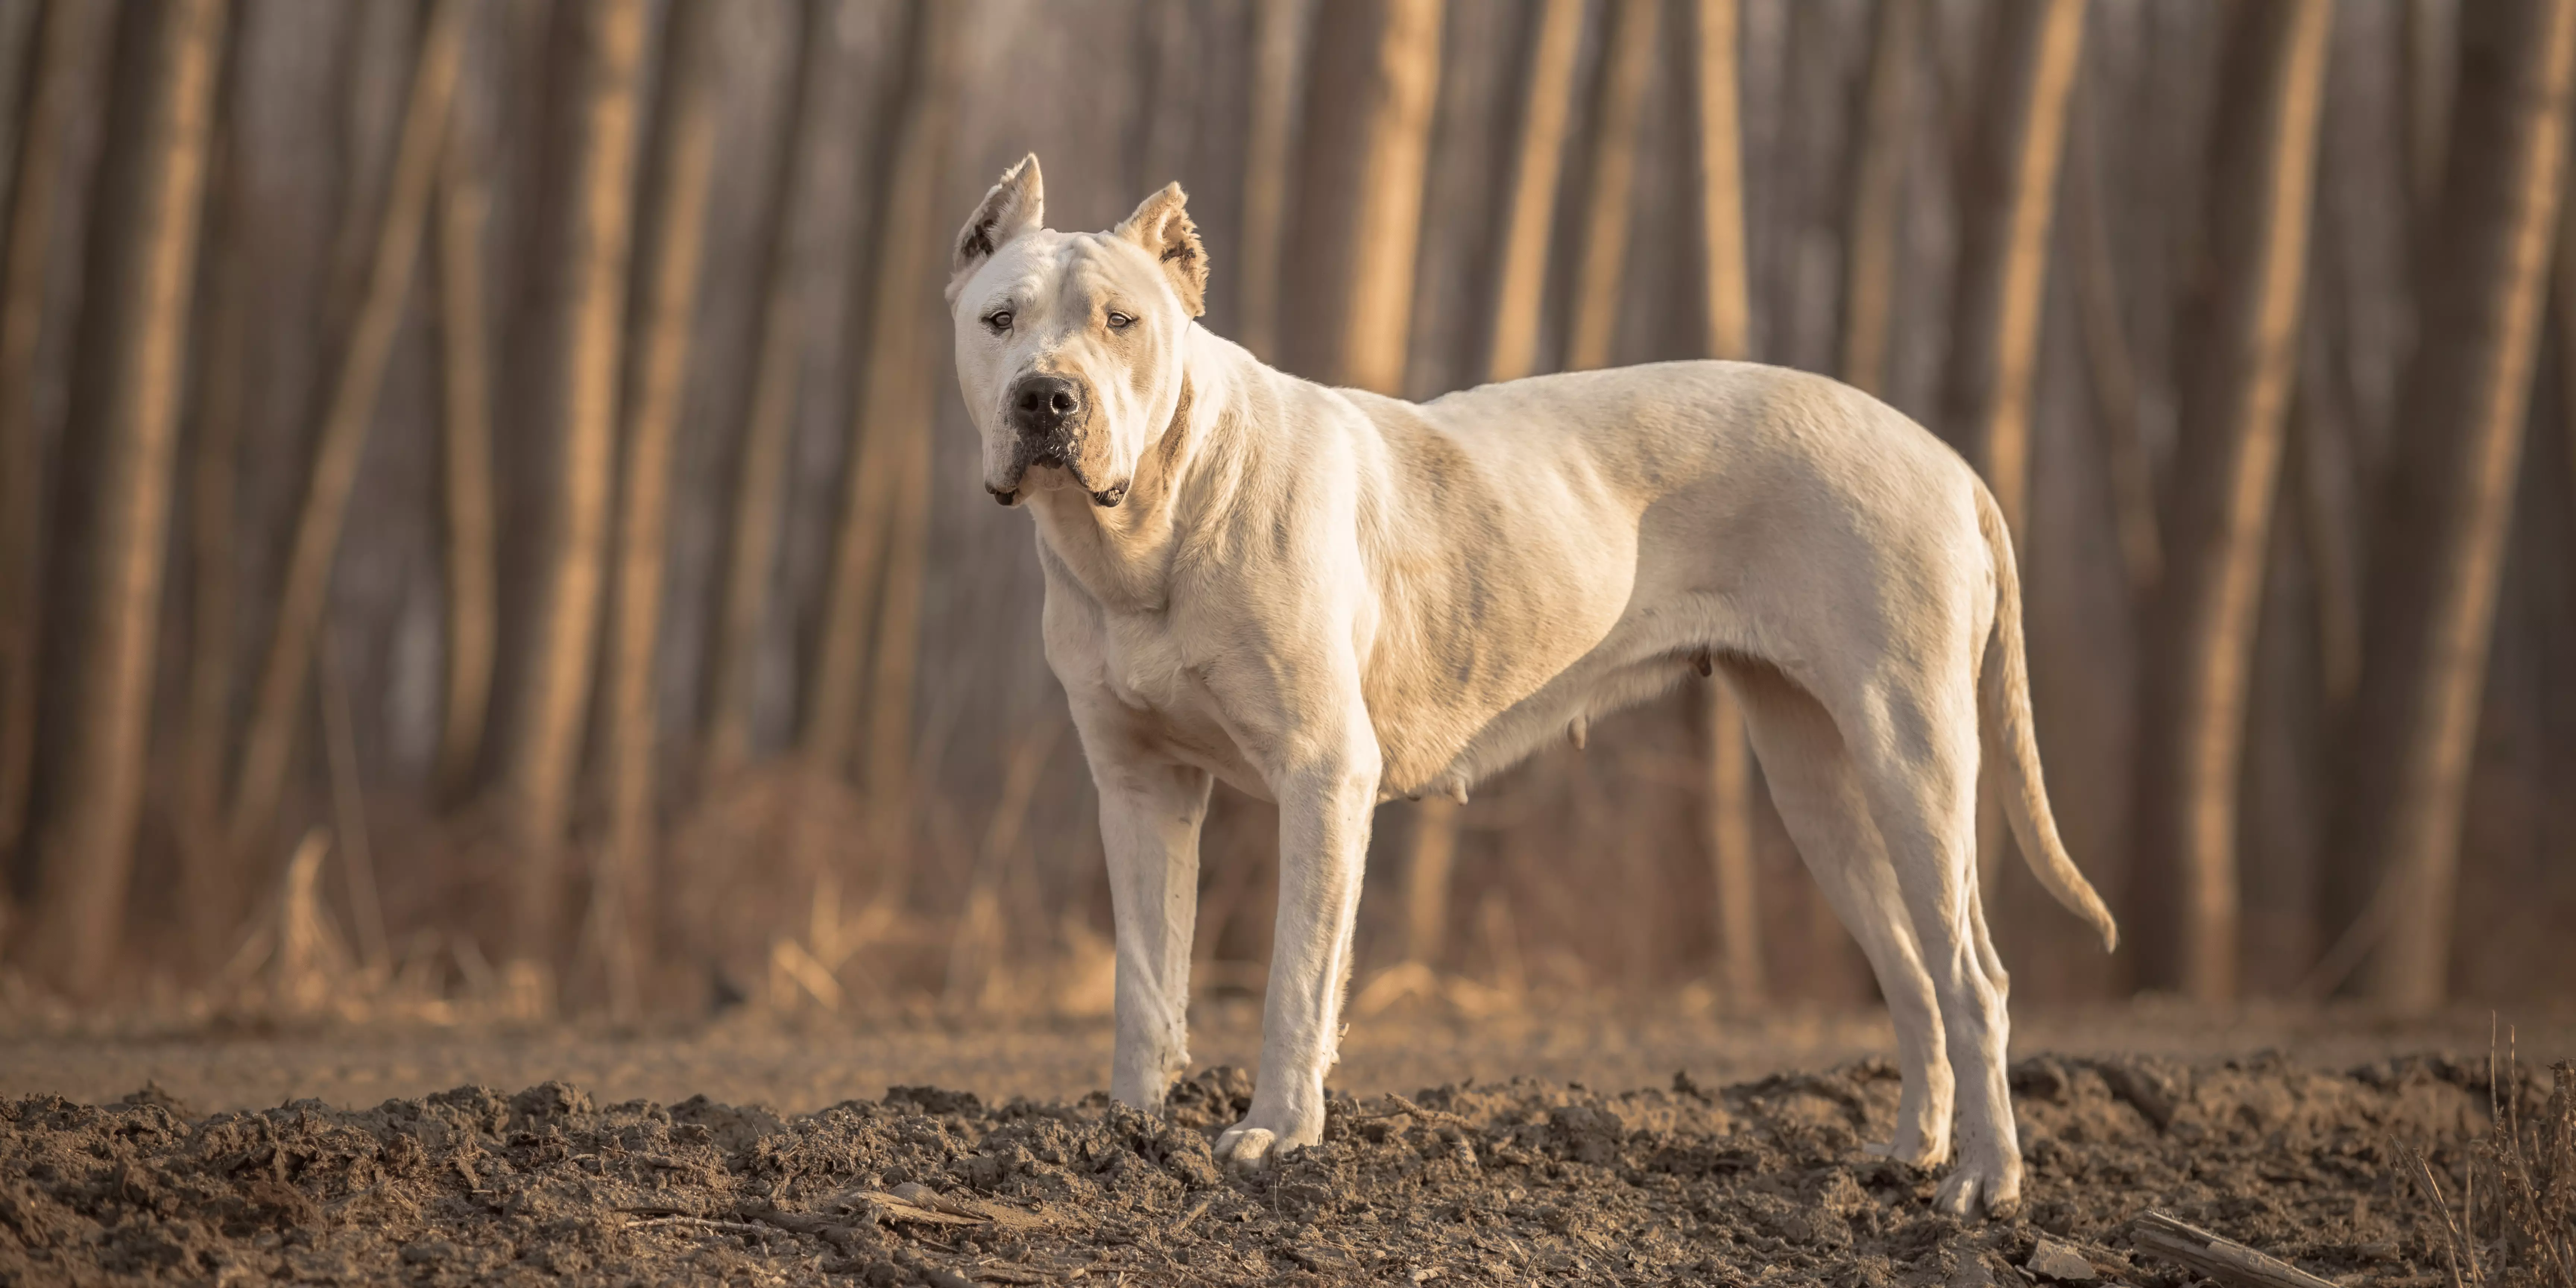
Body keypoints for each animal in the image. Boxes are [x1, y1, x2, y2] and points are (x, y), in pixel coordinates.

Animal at [948, 156, 2112, 1210]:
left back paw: (1985, 1183)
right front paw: (1123, 1134)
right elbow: (1146, 980)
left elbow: (1295, 978)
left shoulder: (1325, 777)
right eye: (999, 319)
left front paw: (1276, 1134)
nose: (1046, 396)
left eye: (1122, 322)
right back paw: (1910, 1154)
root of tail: (1947, 462)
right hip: (1815, 779)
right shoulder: (1139, 785)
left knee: (1972, 977)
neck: (1151, 524)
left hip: (1911, 752)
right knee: (1913, 974)